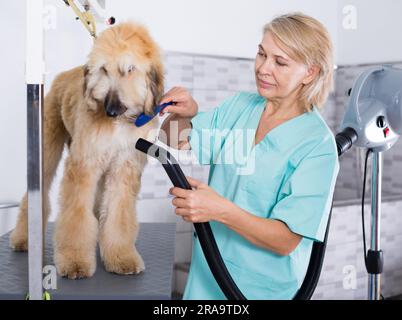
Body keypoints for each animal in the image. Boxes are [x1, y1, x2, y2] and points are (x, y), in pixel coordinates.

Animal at [9, 21, 164, 280]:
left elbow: (117, 214)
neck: (118, 125)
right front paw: (74, 260)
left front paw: (121, 257)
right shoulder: (84, 165)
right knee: (37, 195)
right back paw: (24, 238)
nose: (110, 109)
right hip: (47, 148)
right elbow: (76, 215)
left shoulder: (124, 168)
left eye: (129, 69)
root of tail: (64, 74)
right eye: (104, 69)